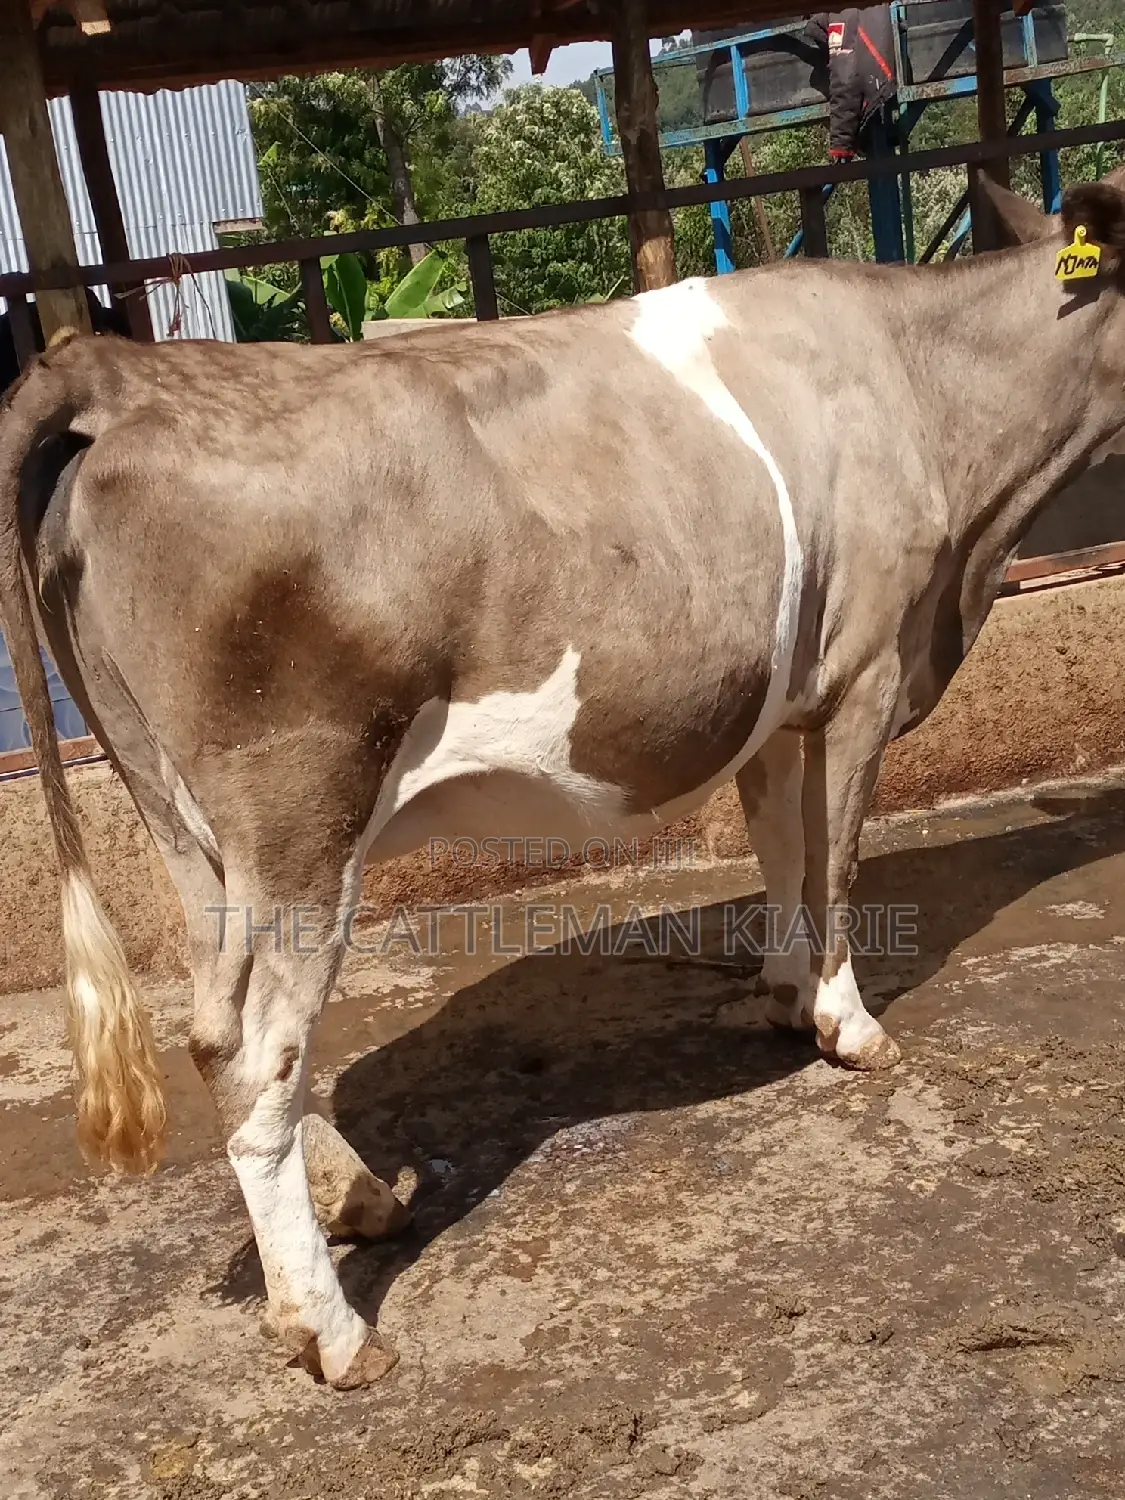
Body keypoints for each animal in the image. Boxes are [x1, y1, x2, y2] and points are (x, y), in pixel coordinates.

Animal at [0, 171, 1121, 1388]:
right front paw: (848, 1025)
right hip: (303, 811)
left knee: (219, 1030)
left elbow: (782, 849)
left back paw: (358, 1199)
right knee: (257, 1053)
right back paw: (332, 1330)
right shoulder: (865, 668)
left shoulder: (778, 696)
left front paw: (781, 994)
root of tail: (122, 373)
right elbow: (839, 861)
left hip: (180, 818)